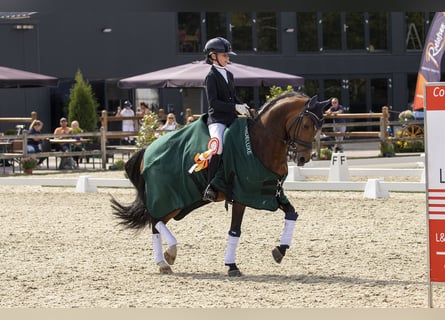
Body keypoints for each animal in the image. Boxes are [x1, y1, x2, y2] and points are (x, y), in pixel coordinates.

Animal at [109, 91, 328, 276]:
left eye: (319, 127)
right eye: (307, 125)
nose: (303, 158)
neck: (261, 142)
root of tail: (147, 150)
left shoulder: (269, 193)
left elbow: (292, 214)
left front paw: (279, 251)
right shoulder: (242, 196)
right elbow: (235, 231)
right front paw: (232, 266)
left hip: (175, 202)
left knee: (155, 224)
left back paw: (163, 262)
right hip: (168, 198)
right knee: (155, 220)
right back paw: (170, 253)